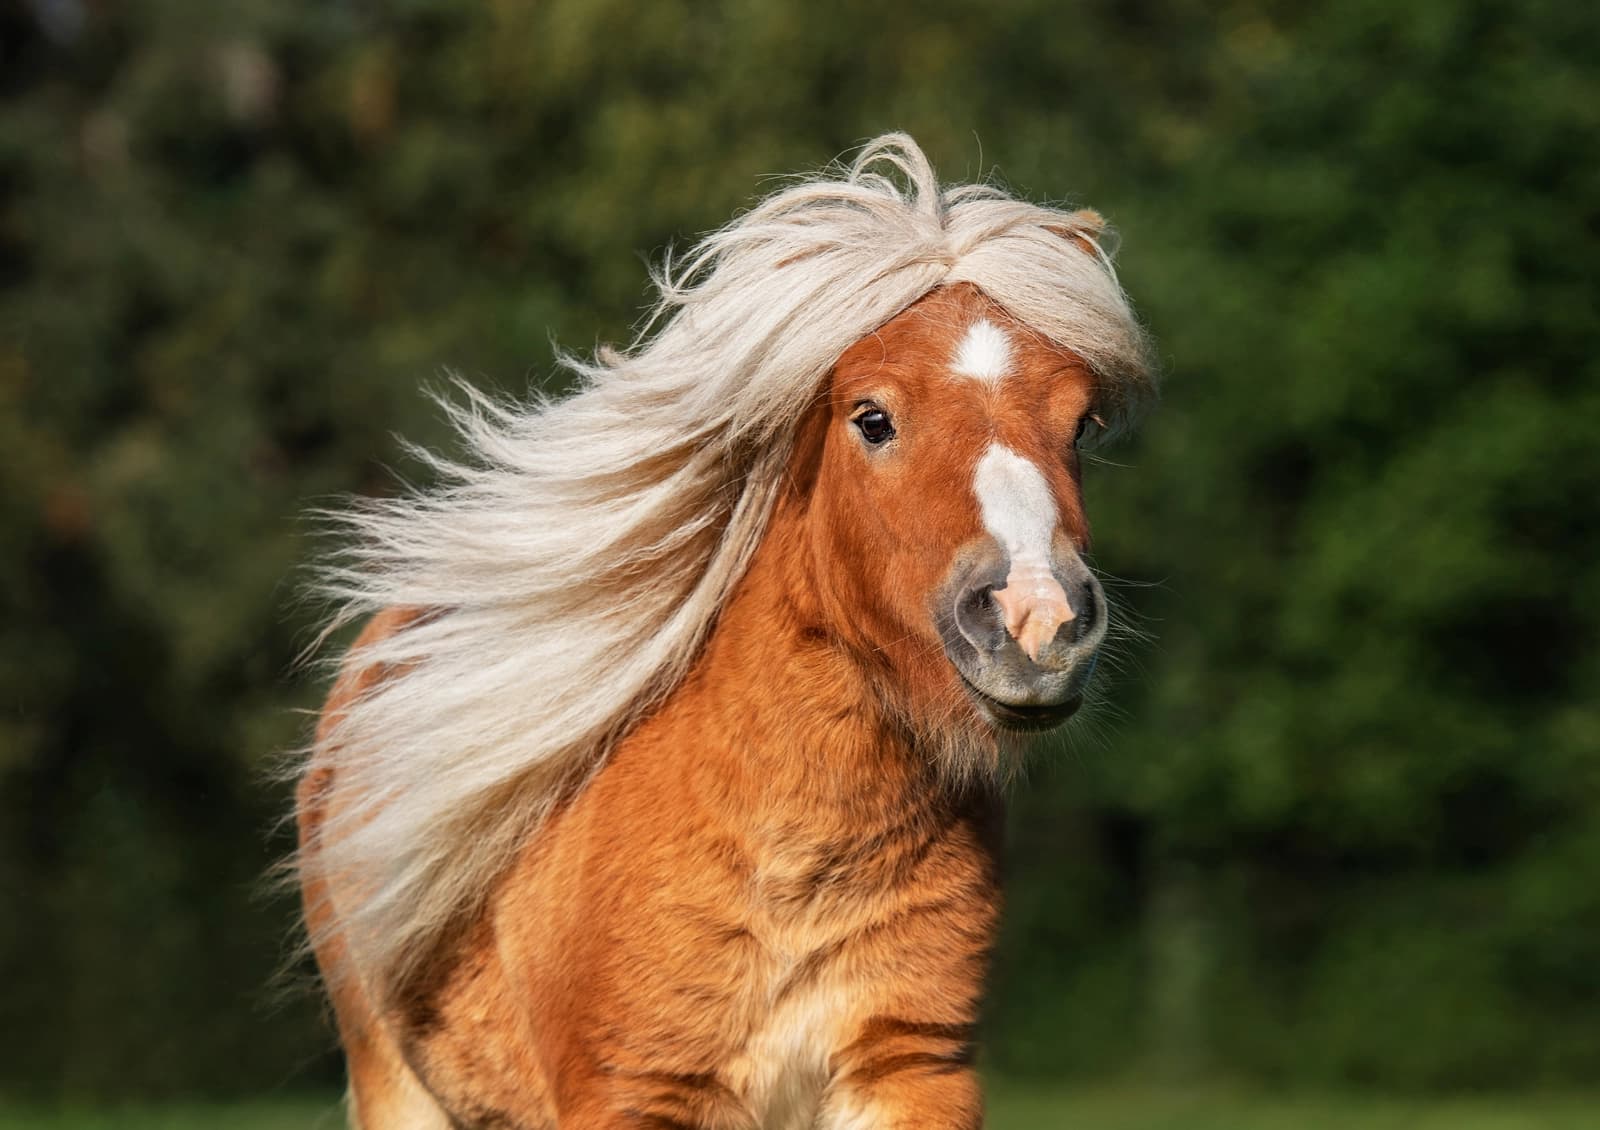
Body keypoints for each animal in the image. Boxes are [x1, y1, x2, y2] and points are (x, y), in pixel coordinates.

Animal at [295, 133, 1155, 1130]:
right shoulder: (639, 1092)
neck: (797, 863)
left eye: (1080, 425)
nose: (1035, 618)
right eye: (872, 418)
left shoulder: (909, 1065)